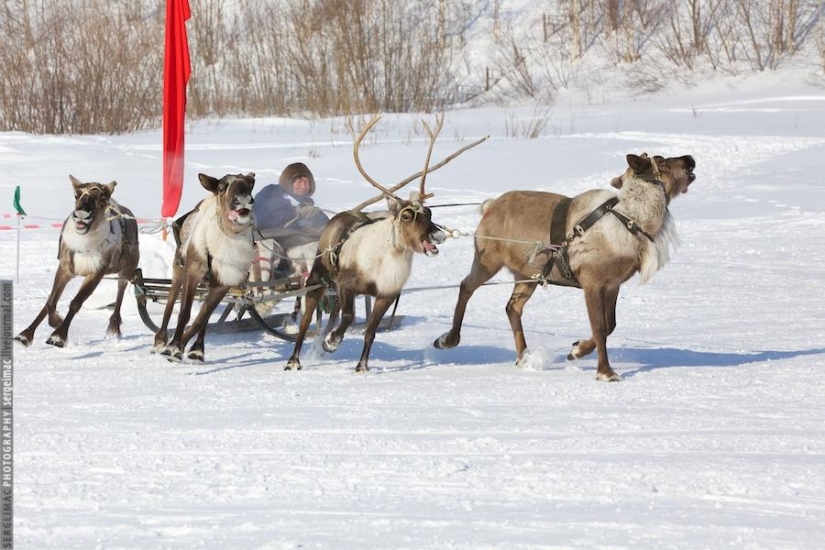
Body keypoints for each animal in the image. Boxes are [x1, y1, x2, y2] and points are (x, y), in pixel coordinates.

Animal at [15, 176, 140, 348]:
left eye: (102, 199)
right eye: (76, 195)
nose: (81, 215)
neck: (84, 245)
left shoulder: (96, 273)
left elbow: (76, 302)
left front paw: (58, 336)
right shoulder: (65, 269)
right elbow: (50, 302)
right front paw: (53, 323)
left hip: (126, 270)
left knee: (120, 292)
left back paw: (114, 327)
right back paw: (24, 335)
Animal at [152, 172, 256, 362]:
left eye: (249, 185)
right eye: (221, 187)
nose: (244, 199)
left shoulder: (223, 284)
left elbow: (201, 319)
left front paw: (184, 347)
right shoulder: (193, 273)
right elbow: (184, 313)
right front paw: (173, 347)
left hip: (209, 283)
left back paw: (197, 349)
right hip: (179, 270)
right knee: (171, 302)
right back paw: (161, 340)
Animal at [285, 114, 488, 373]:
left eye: (429, 212)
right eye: (406, 216)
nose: (438, 235)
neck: (385, 261)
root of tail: (340, 216)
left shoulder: (386, 294)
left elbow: (370, 331)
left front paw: (361, 366)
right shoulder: (346, 284)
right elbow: (349, 317)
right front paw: (332, 342)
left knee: (333, 315)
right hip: (318, 277)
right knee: (306, 320)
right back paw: (294, 360)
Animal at [434, 153, 696, 381]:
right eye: (661, 160)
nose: (690, 159)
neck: (634, 221)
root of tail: (488, 206)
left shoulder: (613, 284)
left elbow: (610, 326)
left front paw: (576, 350)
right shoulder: (592, 283)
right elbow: (600, 327)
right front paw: (605, 372)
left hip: (528, 275)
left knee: (512, 307)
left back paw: (523, 357)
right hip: (488, 261)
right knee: (466, 287)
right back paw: (448, 339)